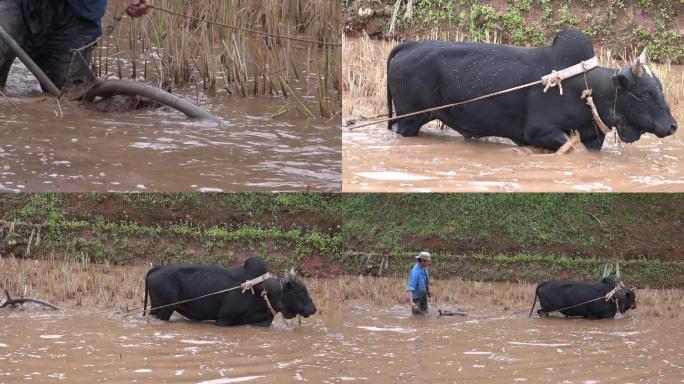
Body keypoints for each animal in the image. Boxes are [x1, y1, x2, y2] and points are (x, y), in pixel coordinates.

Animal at [144, 256, 318, 326]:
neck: (264, 291)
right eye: (299, 291)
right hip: (163, 310)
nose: (313, 309)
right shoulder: (224, 319)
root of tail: (157, 269)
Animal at [388, 29, 676, 152]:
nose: (673, 125)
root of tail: (409, 45)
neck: (588, 89)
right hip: (409, 120)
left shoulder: (592, 137)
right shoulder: (540, 131)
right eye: (645, 93)